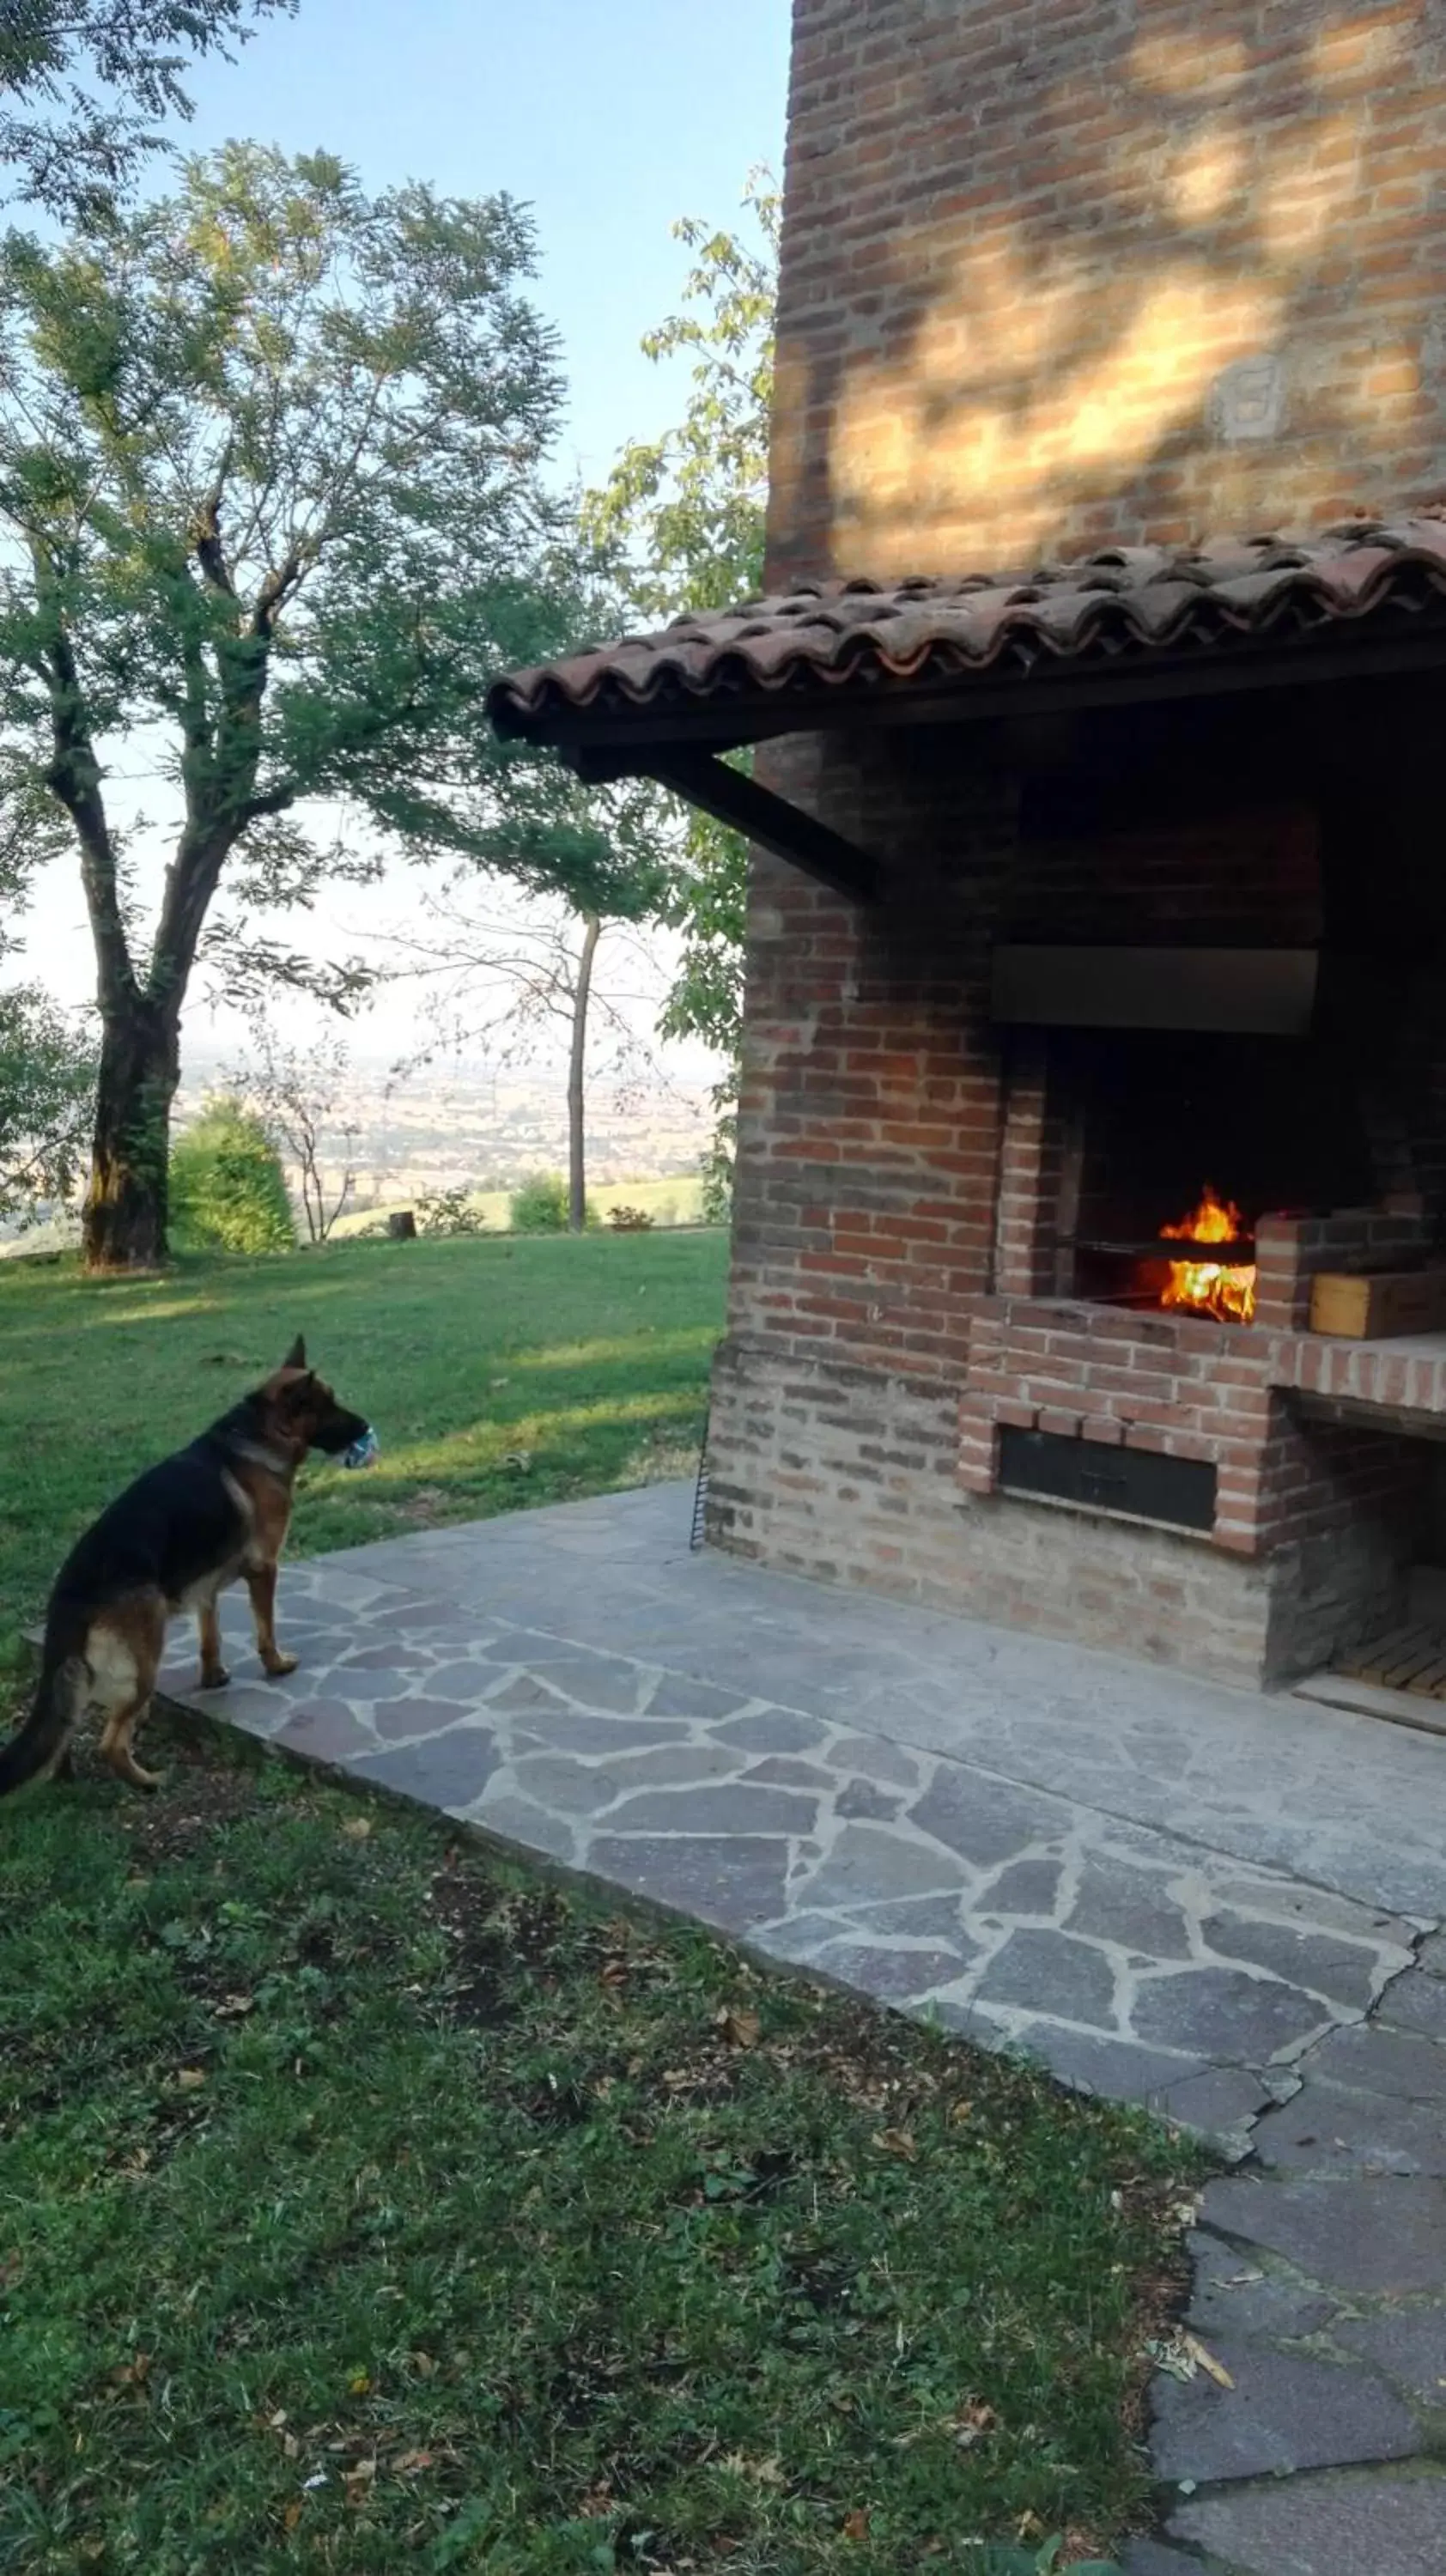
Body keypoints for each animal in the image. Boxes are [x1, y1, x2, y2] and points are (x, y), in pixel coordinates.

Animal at [0, 1350, 368, 1793]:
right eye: (327, 1406)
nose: (365, 1427)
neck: (257, 1436)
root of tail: (69, 1595)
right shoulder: (264, 1569)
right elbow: (265, 1630)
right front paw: (276, 1665)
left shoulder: (205, 1587)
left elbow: (211, 1637)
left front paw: (212, 1677)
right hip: (145, 1663)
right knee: (111, 1740)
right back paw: (148, 1781)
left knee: (62, 1734)